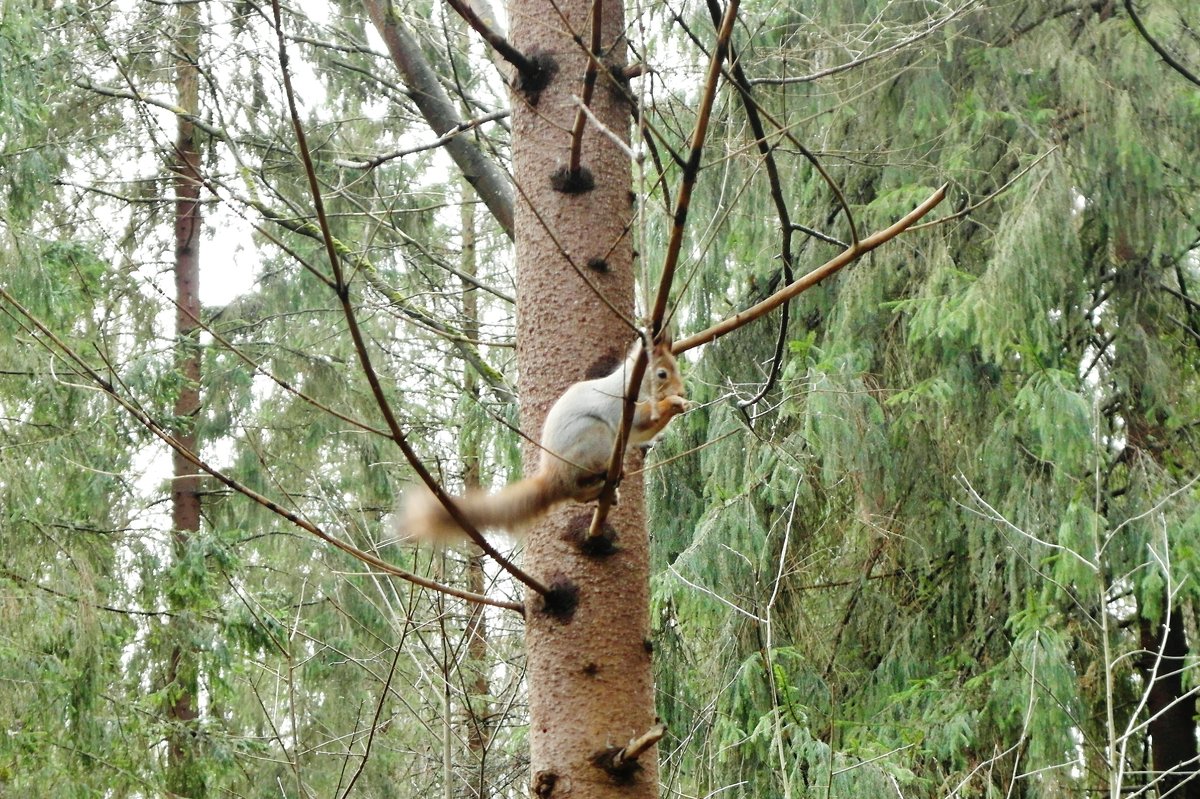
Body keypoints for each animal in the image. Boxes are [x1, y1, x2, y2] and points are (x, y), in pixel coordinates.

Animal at [400, 333, 686, 537]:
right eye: (662, 373)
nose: (682, 391)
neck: (633, 384)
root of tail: (553, 477)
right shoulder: (622, 407)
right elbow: (641, 420)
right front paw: (673, 402)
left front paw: (680, 404)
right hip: (594, 438)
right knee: (575, 489)